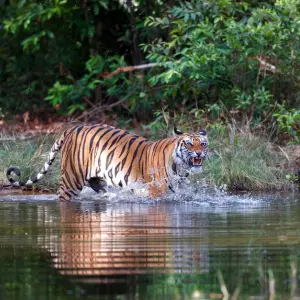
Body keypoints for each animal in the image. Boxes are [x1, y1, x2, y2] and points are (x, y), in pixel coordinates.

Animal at [6, 123, 209, 200]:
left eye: (203, 143)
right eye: (189, 144)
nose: (199, 153)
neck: (181, 166)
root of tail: (73, 127)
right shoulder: (156, 190)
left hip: (97, 179)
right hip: (71, 179)